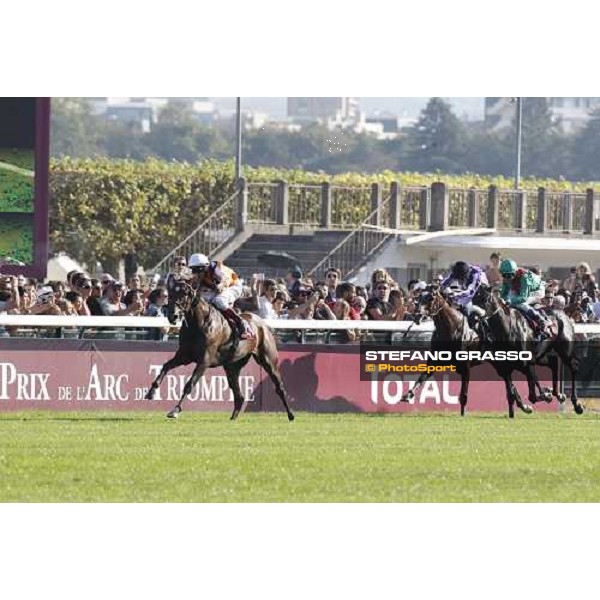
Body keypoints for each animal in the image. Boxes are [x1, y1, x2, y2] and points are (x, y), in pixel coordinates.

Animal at [145, 282, 296, 422]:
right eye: (170, 295)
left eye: (184, 295)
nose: (173, 316)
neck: (198, 324)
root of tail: (262, 323)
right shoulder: (184, 356)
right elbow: (165, 366)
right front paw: (150, 393)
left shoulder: (204, 360)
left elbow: (190, 384)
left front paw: (175, 410)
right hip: (232, 367)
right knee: (239, 395)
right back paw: (233, 417)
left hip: (269, 361)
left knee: (279, 387)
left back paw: (290, 414)